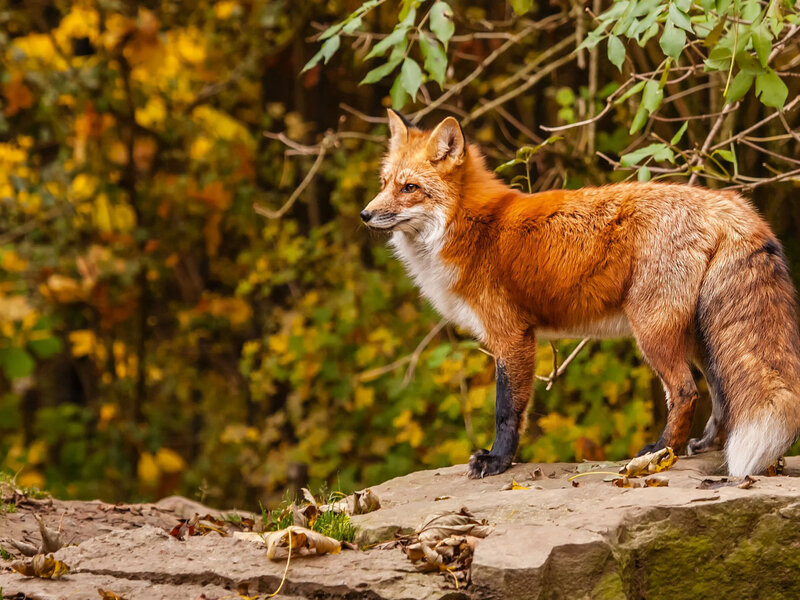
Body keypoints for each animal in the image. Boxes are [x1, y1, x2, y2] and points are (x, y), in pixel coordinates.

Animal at [361, 108, 800, 479]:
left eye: (410, 187)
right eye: (383, 184)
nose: (365, 214)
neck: (469, 227)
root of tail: (726, 201)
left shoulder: (512, 335)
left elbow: (507, 410)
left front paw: (498, 461)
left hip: (654, 331)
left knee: (685, 391)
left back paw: (659, 453)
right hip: (701, 335)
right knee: (721, 398)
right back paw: (701, 446)